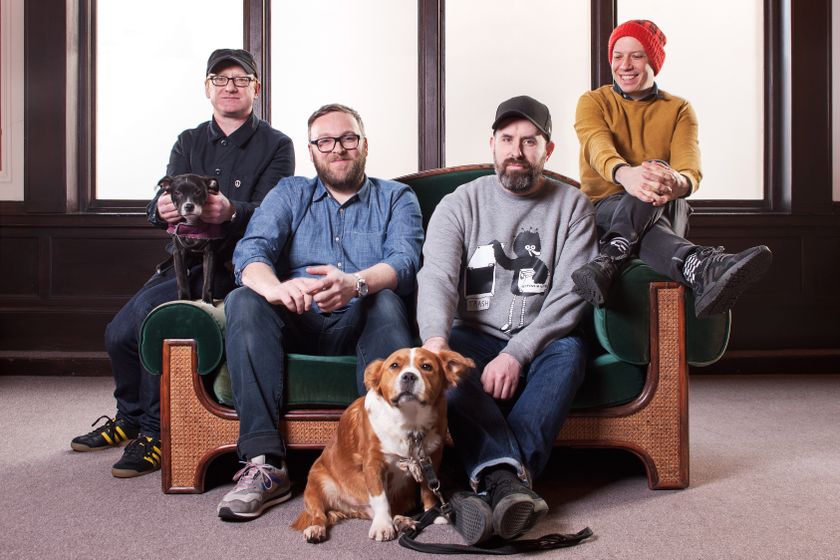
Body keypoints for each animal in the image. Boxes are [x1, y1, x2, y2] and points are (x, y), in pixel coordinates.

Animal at [158, 175, 223, 304]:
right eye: (177, 193)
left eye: (198, 192)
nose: (189, 206)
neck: (192, 225)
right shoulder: (179, 252)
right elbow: (181, 278)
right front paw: (184, 299)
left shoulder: (210, 253)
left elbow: (208, 279)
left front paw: (207, 301)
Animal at [290, 346, 472, 544]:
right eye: (394, 365)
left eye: (426, 366)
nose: (409, 376)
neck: (409, 420)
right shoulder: (373, 463)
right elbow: (380, 498)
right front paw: (383, 526)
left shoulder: (431, 460)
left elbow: (428, 490)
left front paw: (432, 512)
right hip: (316, 485)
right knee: (319, 514)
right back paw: (315, 529)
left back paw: (403, 521)